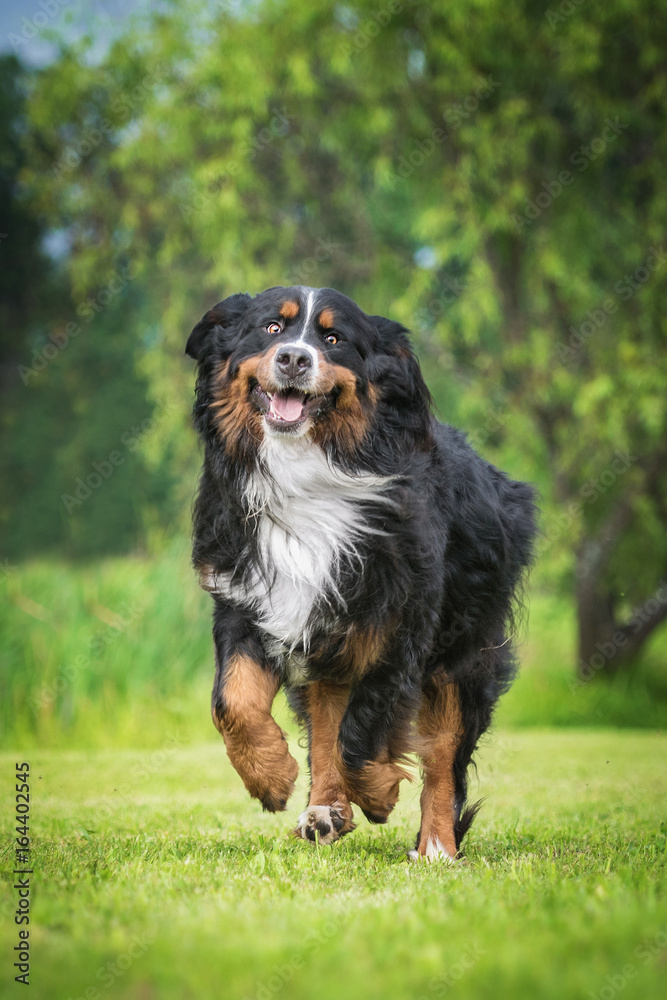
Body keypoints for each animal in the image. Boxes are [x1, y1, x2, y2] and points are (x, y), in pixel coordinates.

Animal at [187, 286, 536, 864]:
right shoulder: (246, 597)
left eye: (333, 339)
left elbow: (366, 724)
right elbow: (232, 701)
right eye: (271, 329)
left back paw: (435, 847)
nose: (294, 359)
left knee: (442, 755)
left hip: (461, 650)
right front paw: (269, 776)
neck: (309, 470)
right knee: (327, 713)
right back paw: (326, 811)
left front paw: (377, 789)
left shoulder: (399, 619)